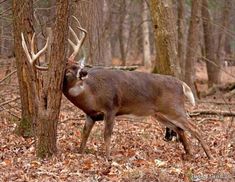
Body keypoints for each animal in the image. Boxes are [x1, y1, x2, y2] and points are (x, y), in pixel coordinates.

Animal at [22, 16, 212, 160]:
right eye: (67, 71)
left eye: (76, 64)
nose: (83, 72)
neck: (90, 95)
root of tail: (182, 84)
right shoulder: (91, 115)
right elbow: (84, 134)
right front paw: (80, 153)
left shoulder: (111, 107)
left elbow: (107, 134)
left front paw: (107, 158)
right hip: (160, 114)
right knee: (180, 129)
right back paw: (189, 154)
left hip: (174, 107)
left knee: (194, 127)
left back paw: (209, 156)